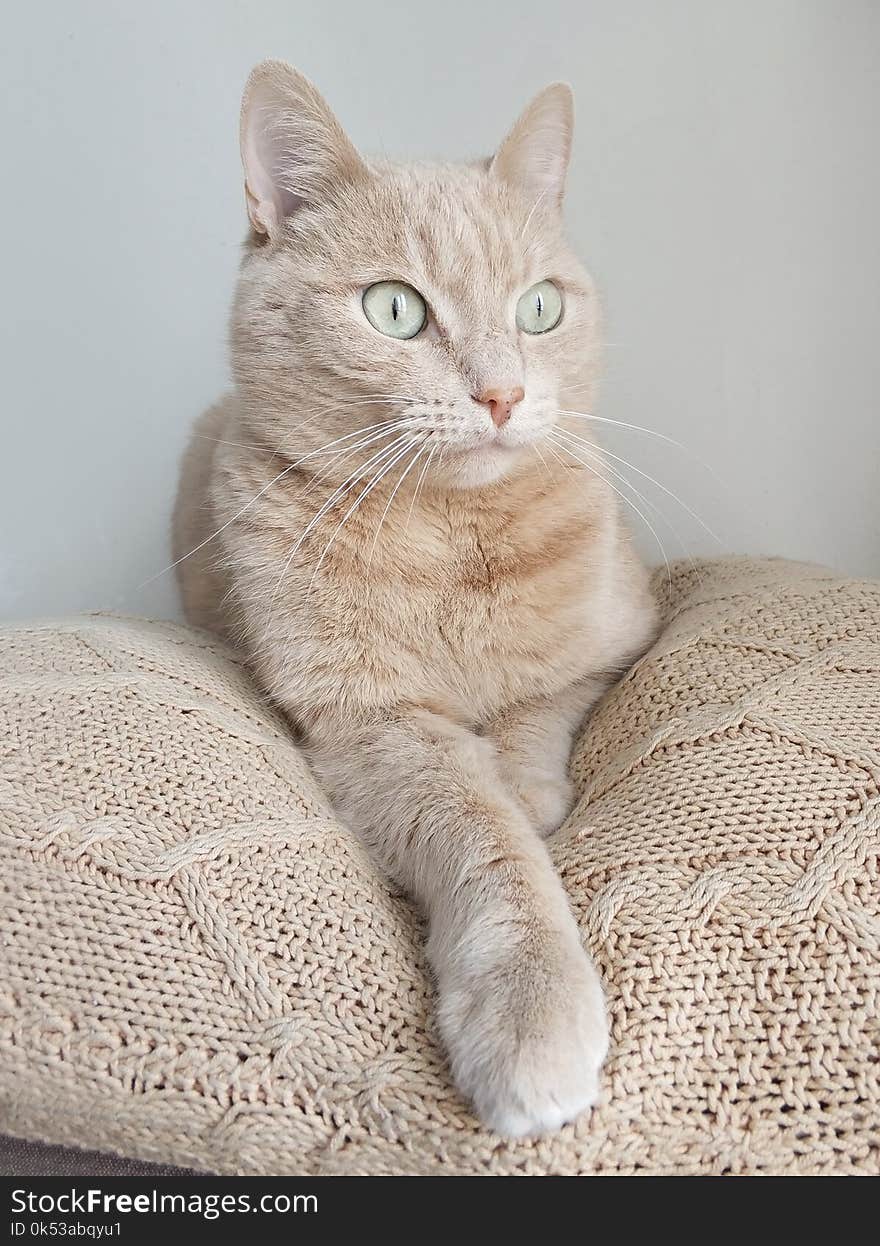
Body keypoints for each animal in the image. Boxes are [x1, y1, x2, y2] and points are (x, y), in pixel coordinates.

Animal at [173, 60, 653, 1141]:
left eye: (539, 309)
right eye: (395, 310)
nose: (503, 395)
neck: (451, 540)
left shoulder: (614, 644)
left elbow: (533, 715)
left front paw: (527, 783)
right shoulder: (370, 725)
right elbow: (483, 835)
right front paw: (531, 1006)